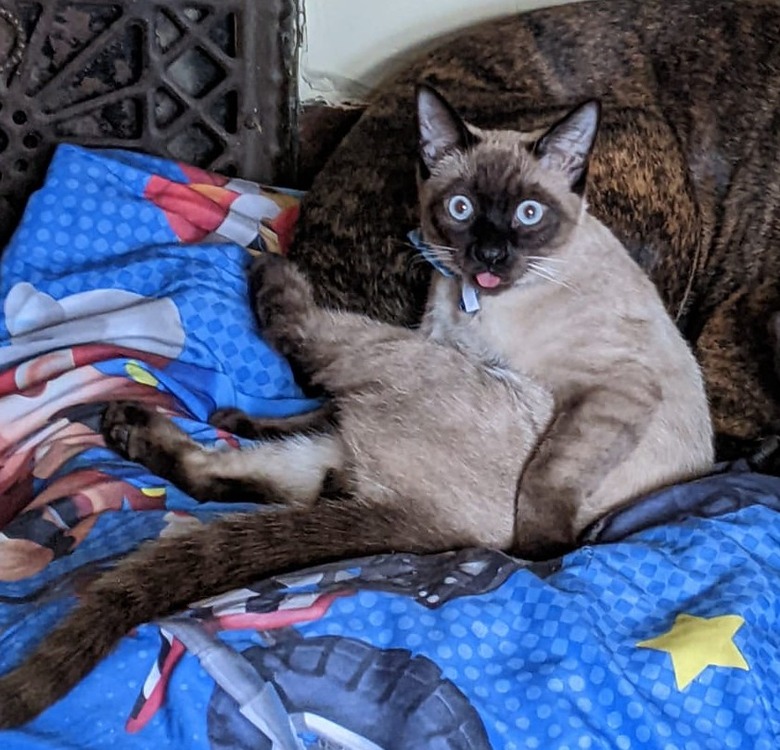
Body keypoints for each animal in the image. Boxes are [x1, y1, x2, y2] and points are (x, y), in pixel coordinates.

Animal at [0, 86, 712, 728]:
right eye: (460, 208)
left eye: (530, 215)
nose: (488, 256)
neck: (469, 304)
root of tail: (445, 529)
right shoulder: (442, 339)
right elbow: (315, 413)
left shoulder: (609, 388)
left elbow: (548, 475)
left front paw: (546, 552)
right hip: (382, 398)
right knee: (271, 469)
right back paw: (149, 423)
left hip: (396, 355)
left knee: (302, 360)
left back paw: (264, 269)